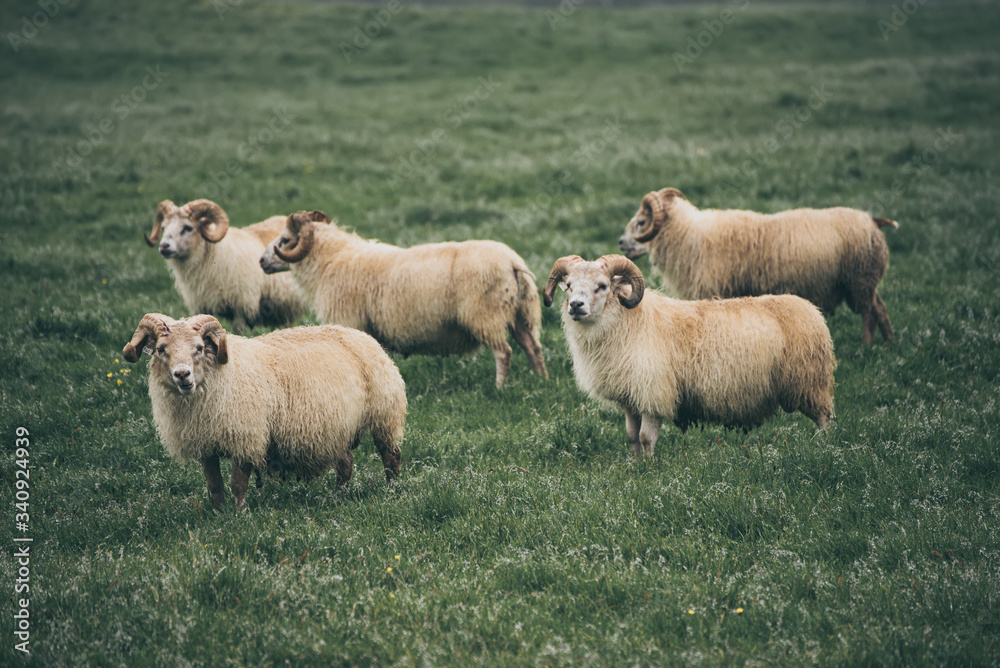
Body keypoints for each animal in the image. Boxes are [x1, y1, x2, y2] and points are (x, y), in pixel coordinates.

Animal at [123, 313, 407, 510]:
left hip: (384, 415)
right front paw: (218, 514)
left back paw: (393, 491)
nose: (182, 375)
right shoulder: (206, 444)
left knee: (390, 456)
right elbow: (214, 485)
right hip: (338, 428)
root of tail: (361, 336)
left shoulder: (246, 437)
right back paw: (339, 497)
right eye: (161, 350)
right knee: (346, 464)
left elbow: (238, 483)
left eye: (199, 348)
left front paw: (239, 515)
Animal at [145, 199, 307, 334]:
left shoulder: (240, 306)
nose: (164, 246)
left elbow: (238, 331)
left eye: (188, 227)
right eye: (163, 227)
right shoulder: (204, 305)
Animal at [259, 210, 548, 388]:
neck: (330, 260)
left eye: (284, 240)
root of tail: (512, 262)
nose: (261, 260)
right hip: (520, 314)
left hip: (486, 315)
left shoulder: (349, 320)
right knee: (533, 348)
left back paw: (499, 388)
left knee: (504, 352)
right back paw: (540, 381)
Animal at [543, 254, 836, 457]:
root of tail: (810, 309)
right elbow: (631, 436)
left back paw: (825, 451)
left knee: (825, 419)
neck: (628, 322)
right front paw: (634, 466)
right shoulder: (631, 397)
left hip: (809, 382)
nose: (575, 306)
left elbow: (646, 438)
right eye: (569, 285)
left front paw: (649, 469)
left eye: (602, 286)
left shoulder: (653, 394)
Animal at [617, 188, 898, 344]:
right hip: (864, 282)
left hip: (859, 280)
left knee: (869, 314)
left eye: (641, 222)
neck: (687, 236)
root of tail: (872, 220)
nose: (620, 242)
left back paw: (866, 346)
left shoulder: (715, 291)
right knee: (881, 309)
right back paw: (889, 344)